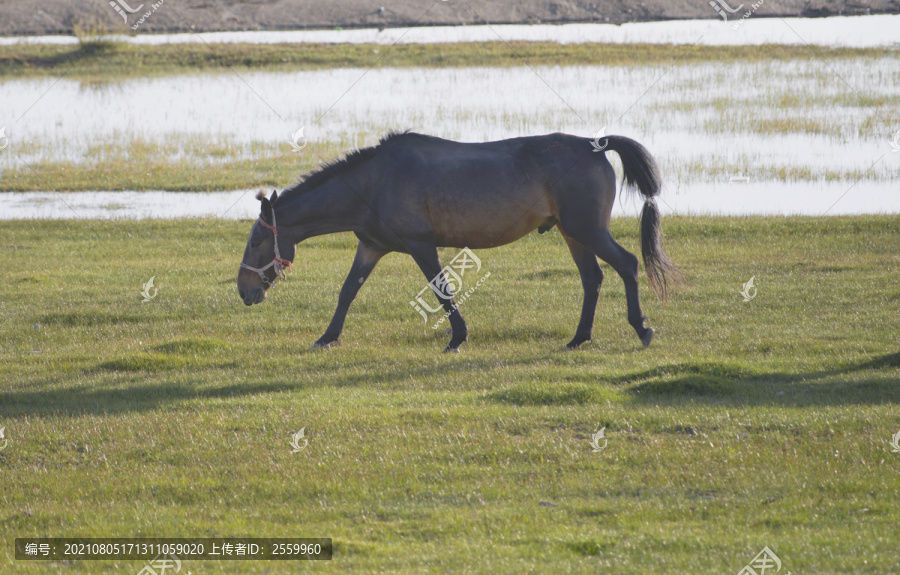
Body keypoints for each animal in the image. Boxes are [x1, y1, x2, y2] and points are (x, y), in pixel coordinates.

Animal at [236, 132, 680, 354]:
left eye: (257, 240)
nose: (244, 291)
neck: (373, 182)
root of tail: (595, 143)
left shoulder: (420, 245)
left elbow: (442, 291)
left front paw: (457, 337)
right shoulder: (371, 246)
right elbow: (348, 291)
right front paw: (328, 337)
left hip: (587, 229)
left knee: (627, 265)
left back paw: (641, 327)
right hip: (574, 234)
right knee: (593, 279)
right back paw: (579, 337)